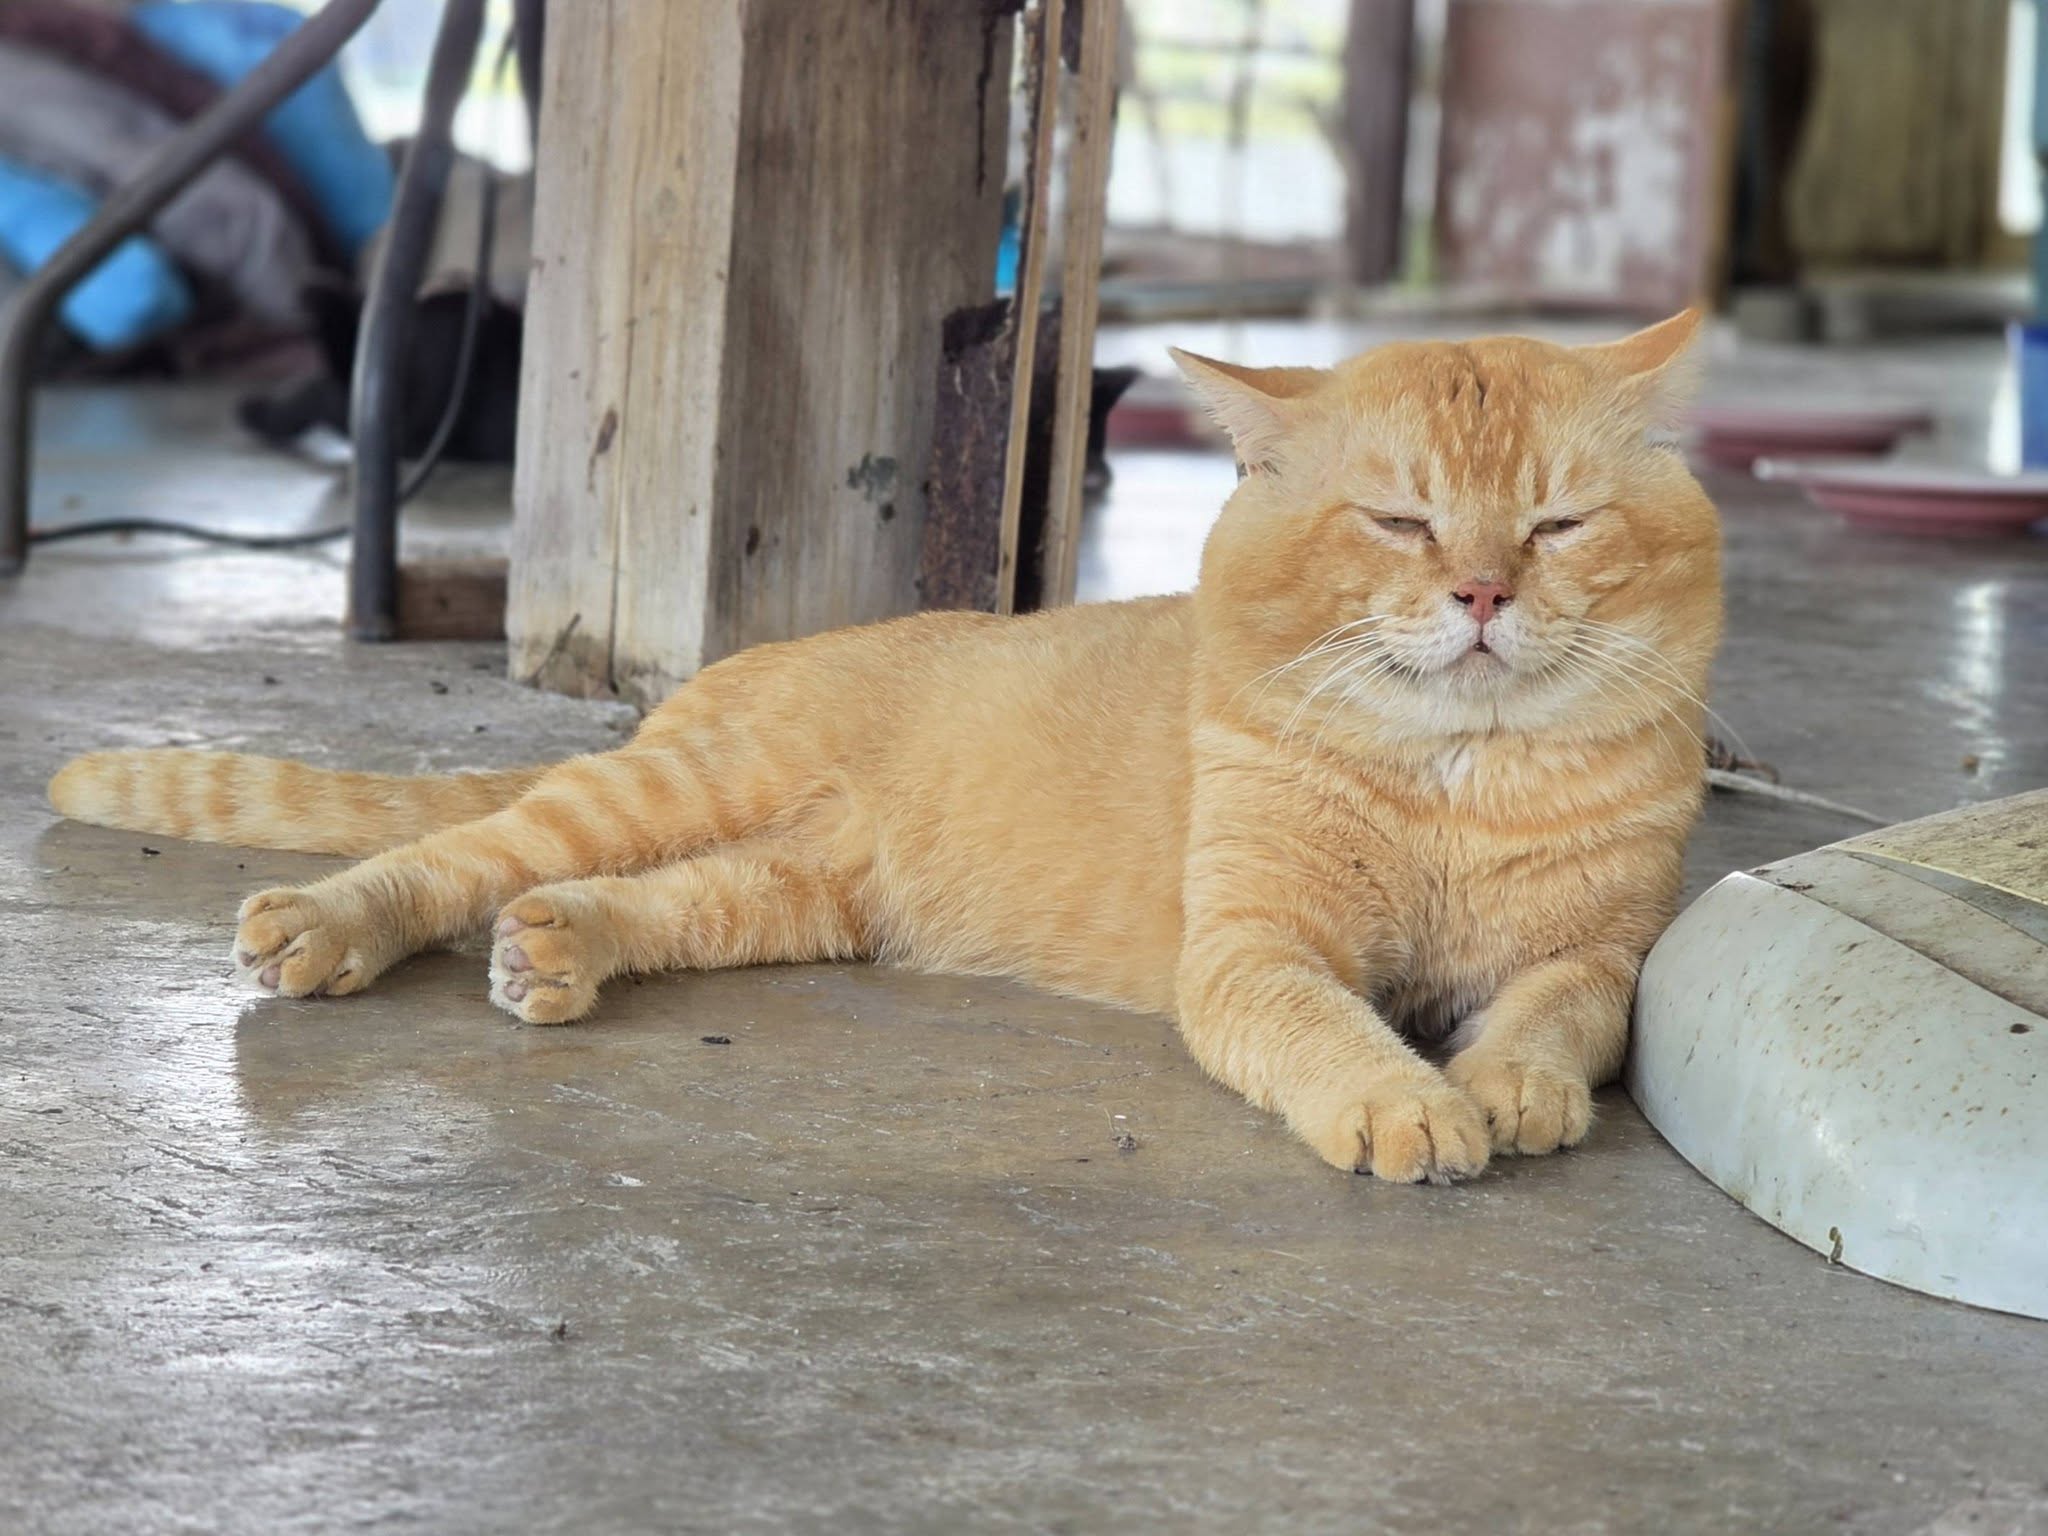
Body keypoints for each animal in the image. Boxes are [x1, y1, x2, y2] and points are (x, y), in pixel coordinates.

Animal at [49, 313, 1721, 1184]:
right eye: (1401, 520)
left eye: (1558, 524)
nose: (1485, 593)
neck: (1460, 775)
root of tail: (711, 682)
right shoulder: (1253, 952)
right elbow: (1334, 1028)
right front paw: (1411, 1103)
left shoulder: (1603, 956)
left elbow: (1556, 1017)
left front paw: (1507, 1087)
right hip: (652, 792)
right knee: (451, 855)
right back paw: (326, 928)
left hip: (792, 893)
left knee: (629, 900)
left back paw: (555, 952)